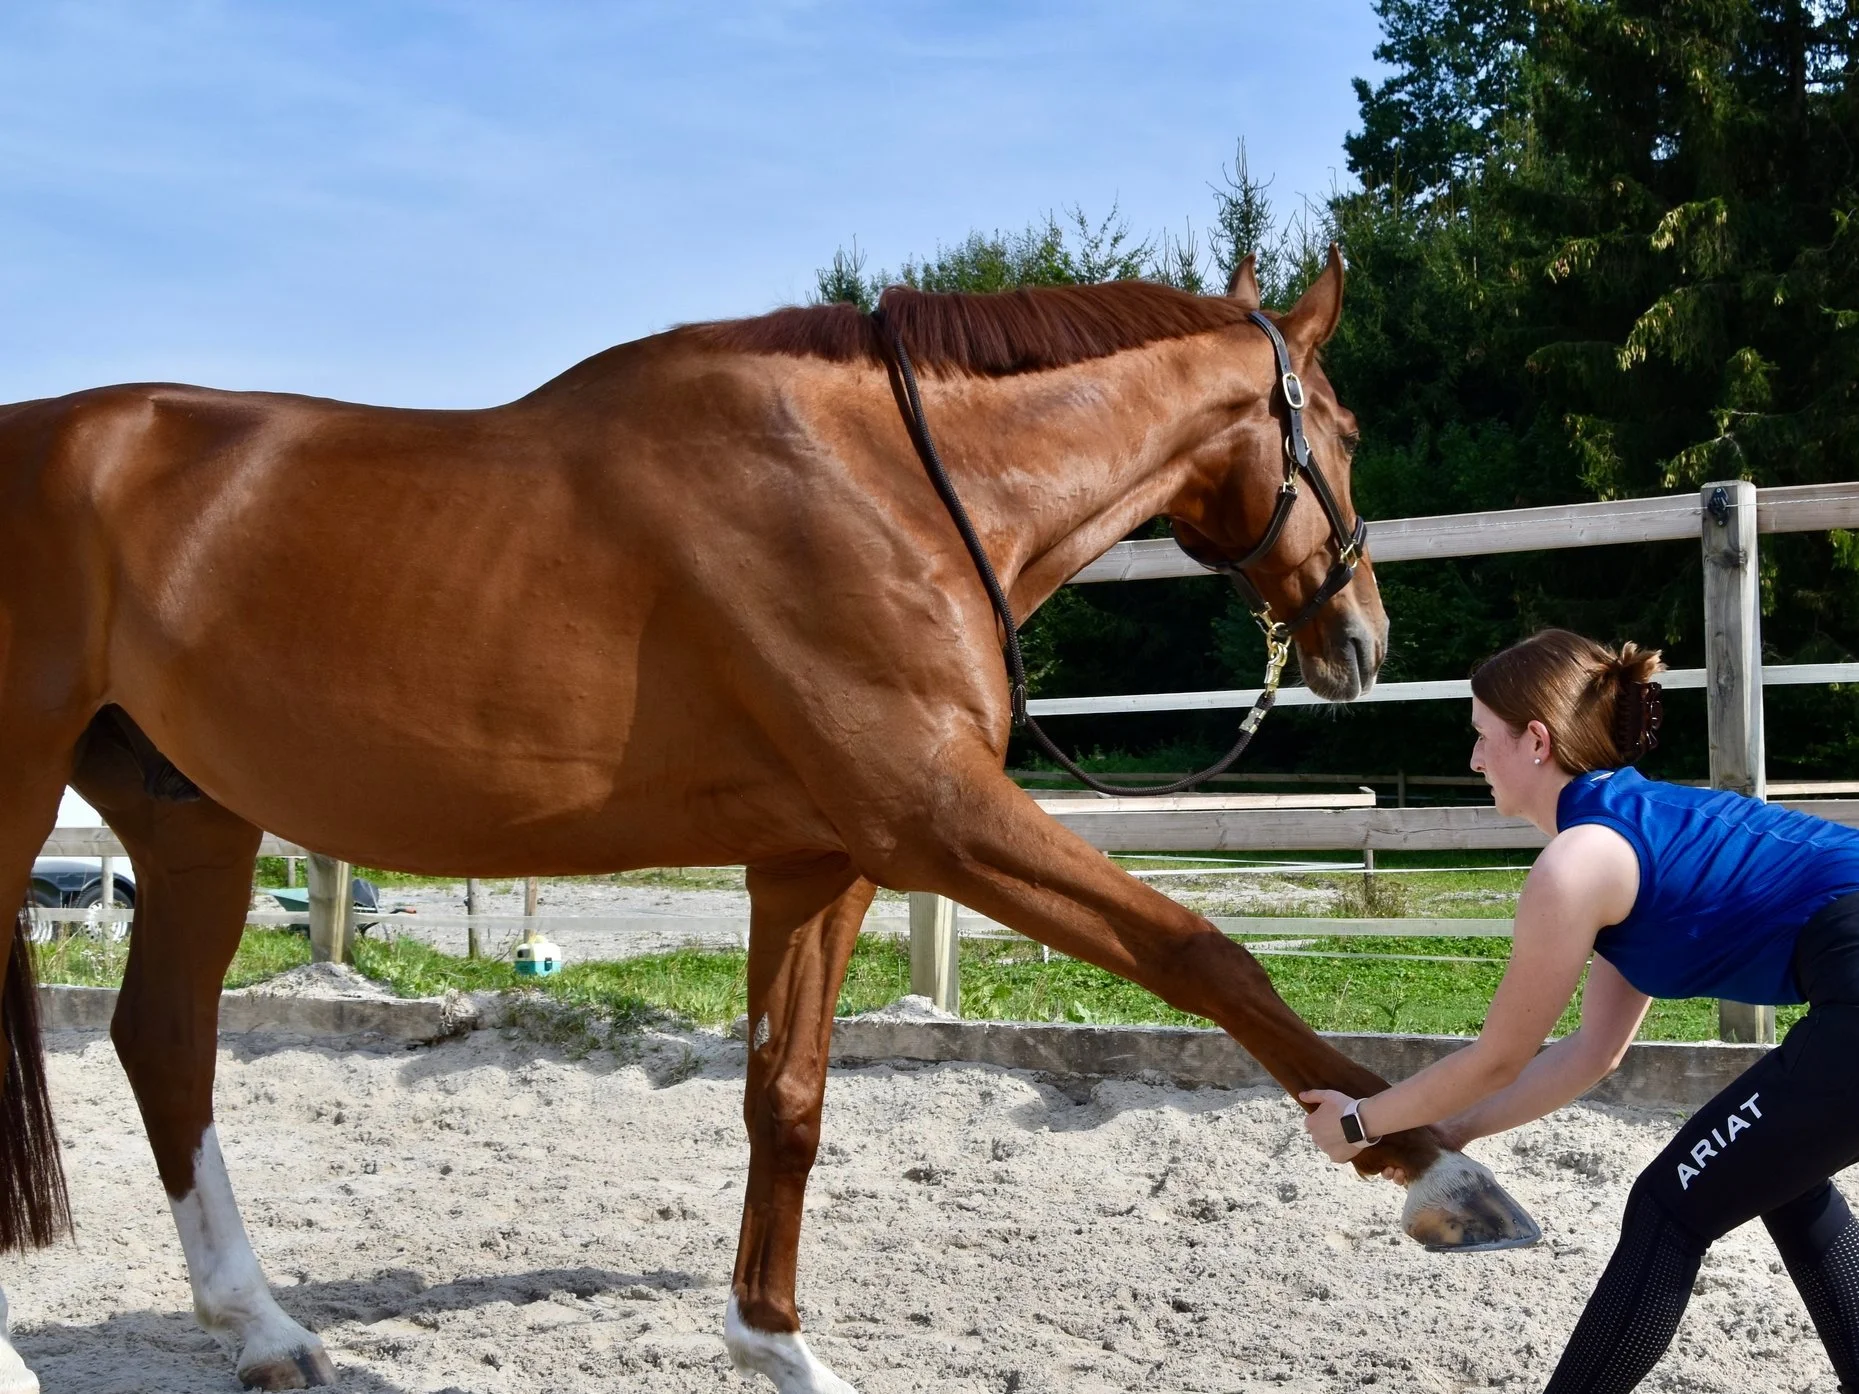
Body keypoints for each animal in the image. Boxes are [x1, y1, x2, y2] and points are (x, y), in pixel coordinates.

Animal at [0, 248, 1537, 1394]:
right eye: (1342, 432)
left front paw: (771, 1339)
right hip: (25, 797)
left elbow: (783, 1093)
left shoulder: (819, 857)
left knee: (166, 1042)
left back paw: (262, 1329)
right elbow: (1201, 951)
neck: (883, 484)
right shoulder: (934, 820)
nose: (1360, 637)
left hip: (192, 824)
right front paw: (1442, 1172)